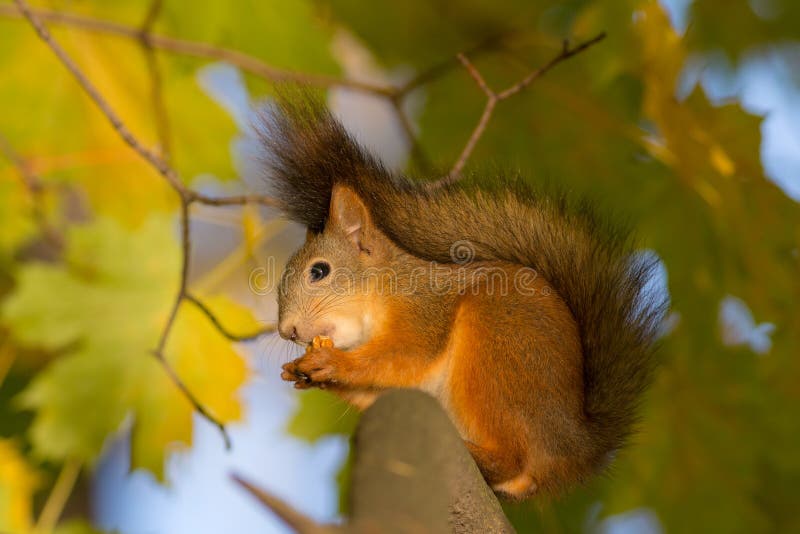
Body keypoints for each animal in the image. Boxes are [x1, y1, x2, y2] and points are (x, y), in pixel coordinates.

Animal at [257, 94, 665, 499]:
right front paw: (300, 371)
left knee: (512, 458)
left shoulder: (424, 309)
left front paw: (331, 362)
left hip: (497, 349)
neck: (385, 290)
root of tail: (574, 446)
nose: (287, 331)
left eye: (319, 271)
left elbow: (406, 354)